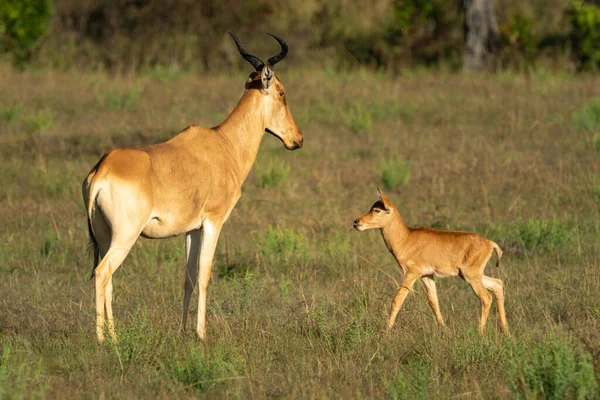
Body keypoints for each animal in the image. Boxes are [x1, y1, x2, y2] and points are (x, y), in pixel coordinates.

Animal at [82, 32, 302, 344]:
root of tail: (103, 168)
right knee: (103, 273)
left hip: (103, 237)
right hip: (125, 236)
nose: (298, 139)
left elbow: (187, 277)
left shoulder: (191, 229)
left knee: (107, 278)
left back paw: (114, 337)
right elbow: (204, 274)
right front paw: (201, 334)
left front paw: (183, 331)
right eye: (282, 92)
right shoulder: (213, 222)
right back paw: (102, 340)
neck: (222, 143)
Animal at [354, 190, 508, 334]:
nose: (356, 222)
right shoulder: (427, 275)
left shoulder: (411, 273)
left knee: (486, 297)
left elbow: (397, 299)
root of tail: (490, 243)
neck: (406, 238)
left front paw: (386, 330)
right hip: (471, 275)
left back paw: (480, 332)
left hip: (471, 276)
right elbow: (433, 301)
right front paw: (445, 329)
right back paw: (505, 331)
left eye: (377, 210)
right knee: (497, 284)